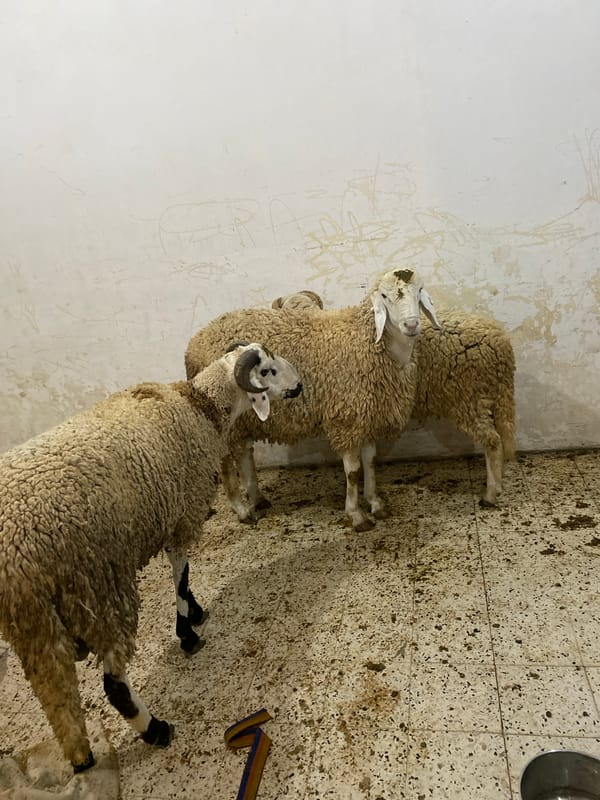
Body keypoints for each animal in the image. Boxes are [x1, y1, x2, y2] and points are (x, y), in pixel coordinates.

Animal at [0, 343, 302, 773]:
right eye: (268, 370)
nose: (299, 386)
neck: (199, 405)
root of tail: (12, 555)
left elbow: (183, 575)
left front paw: (194, 612)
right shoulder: (183, 510)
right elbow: (182, 570)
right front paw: (187, 629)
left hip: (33, 624)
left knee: (56, 696)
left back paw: (81, 756)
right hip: (98, 590)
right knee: (113, 684)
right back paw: (155, 729)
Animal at [184, 268, 441, 532]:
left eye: (419, 290)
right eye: (384, 296)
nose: (411, 324)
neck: (371, 341)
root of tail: (195, 341)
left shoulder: (367, 414)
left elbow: (370, 462)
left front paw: (376, 503)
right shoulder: (346, 418)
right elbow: (353, 471)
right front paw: (356, 515)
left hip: (244, 417)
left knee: (245, 452)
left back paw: (257, 498)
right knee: (226, 462)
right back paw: (242, 509)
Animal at [266, 291, 516, 508]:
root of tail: (501, 342)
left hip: (468, 399)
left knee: (492, 442)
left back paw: (490, 495)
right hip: (486, 397)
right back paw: (498, 485)